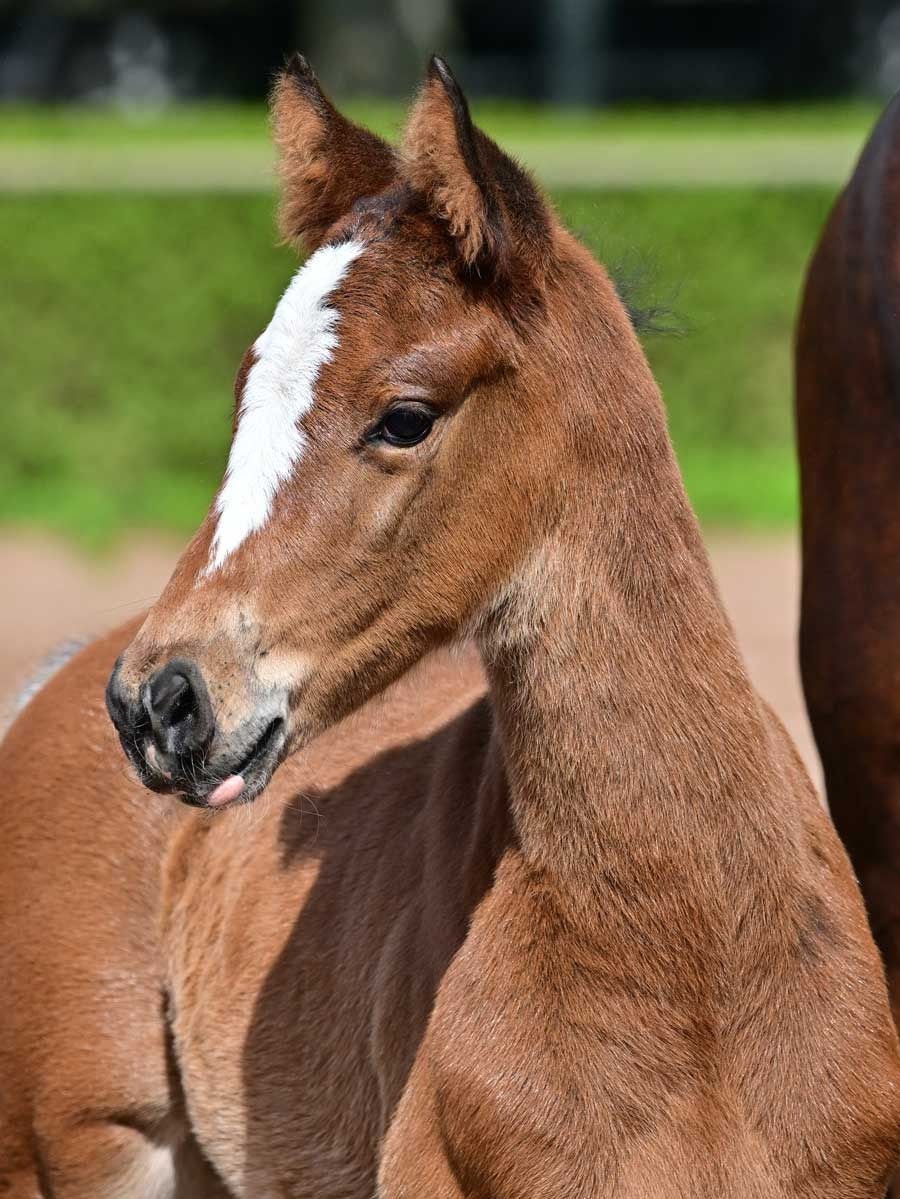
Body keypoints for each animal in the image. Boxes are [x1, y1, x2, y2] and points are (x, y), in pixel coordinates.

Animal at [1, 53, 900, 1199]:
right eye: (245, 395)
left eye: (405, 417)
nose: (159, 698)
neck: (691, 951)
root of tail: (58, 676)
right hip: (70, 1144)